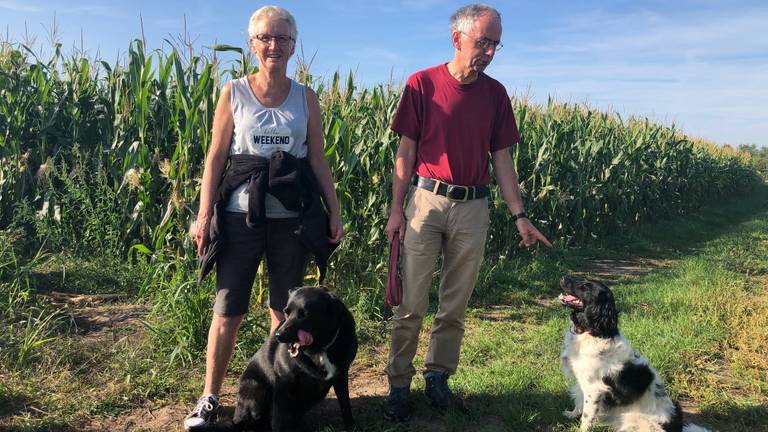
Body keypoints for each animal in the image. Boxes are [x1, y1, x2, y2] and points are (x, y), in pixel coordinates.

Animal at [232, 286, 358, 432]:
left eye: (304, 314)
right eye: (286, 312)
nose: (278, 335)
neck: (320, 350)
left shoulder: (341, 375)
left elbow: (345, 404)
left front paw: (351, 426)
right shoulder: (282, 383)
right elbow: (278, 418)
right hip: (255, 388)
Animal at [556, 276, 712, 432]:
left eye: (585, 286)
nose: (563, 278)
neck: (594, 331)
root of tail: (676, 427)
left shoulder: (594, 388)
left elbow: (587, 415)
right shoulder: (582, 381)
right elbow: (579, 401)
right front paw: (571, 414)